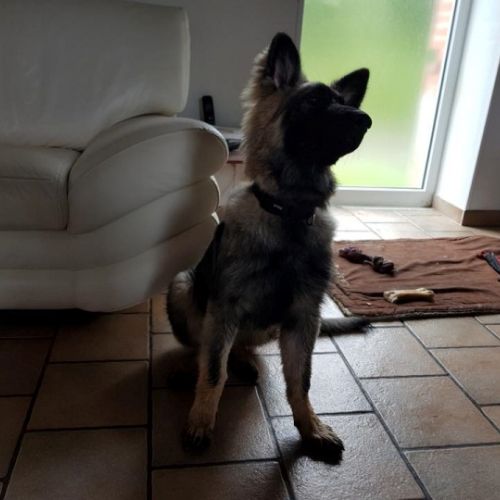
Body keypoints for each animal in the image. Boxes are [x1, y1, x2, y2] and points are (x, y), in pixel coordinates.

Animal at [167, 32, 372, 461]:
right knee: (202, 349)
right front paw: (200, 421)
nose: (366, 119)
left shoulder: (303, 318)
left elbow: (301, 381)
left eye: (342, 100)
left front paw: (311, 428)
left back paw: (243, 359)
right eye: (314, 102)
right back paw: (189, 366)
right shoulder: (224, 308)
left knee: (237, 348)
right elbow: (213, 372)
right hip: (182, 285)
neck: (288, 214)